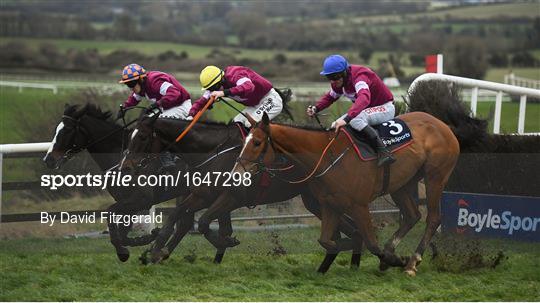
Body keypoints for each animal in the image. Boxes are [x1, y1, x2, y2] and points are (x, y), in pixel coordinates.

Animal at [121, 113, 364, 274]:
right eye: (130, 135)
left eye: (142, 137)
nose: (126, 167)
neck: (214, 152)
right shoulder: (203, 194)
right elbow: (178, 214)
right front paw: (155, 251)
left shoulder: (230, 197)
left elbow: (204, 223)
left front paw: (225, 242)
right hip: (314, 200)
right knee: (346, 229)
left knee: (349, 228)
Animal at [232, 112, 460, 278]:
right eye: (245, 142)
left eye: (257, 142)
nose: (237, 173)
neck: (327, 157)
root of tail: (443, 125)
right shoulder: (329, 205)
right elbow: (326, 240)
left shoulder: (359, 206)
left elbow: (371, 243)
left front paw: (395, 259)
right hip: (402, 184)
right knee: (413, 215)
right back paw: (393, 252)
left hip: (435, 177)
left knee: (433, 218)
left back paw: (412, 262)